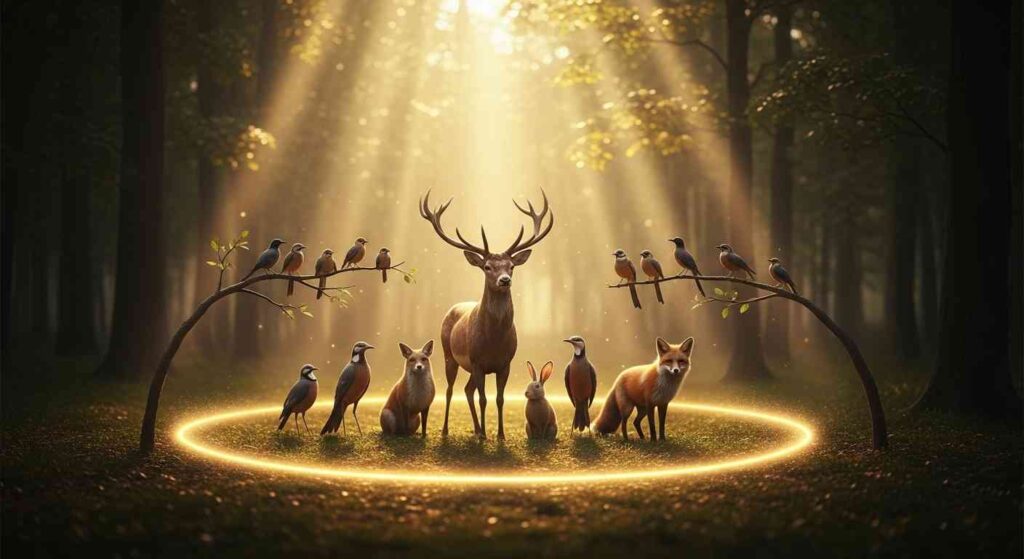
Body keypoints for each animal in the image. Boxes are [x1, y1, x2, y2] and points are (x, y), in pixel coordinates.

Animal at [419, 189, 553, 440]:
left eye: (512, 266)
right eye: (487, 267)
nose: (505, 280)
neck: (494, 341)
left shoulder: (505, 363)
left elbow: (499, 399)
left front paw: (500, 435)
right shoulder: (477, 360)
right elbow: (483, 399)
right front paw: (485, 436)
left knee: (467, 389)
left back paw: (476, 428)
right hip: (449, 354)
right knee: (451, 390)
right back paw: (448, 430)